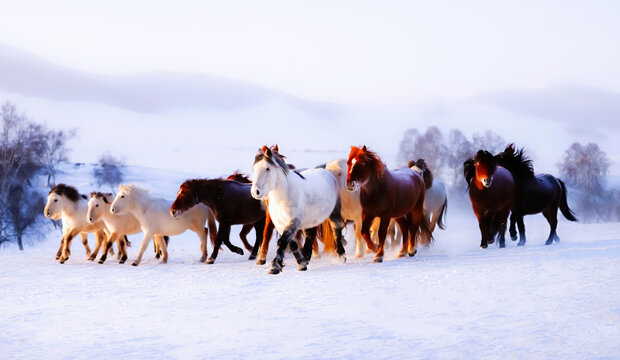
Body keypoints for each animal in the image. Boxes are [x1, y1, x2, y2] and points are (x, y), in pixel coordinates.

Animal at [252, 145, 348, 274]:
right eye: (254, 169)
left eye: (267, 168)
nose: (255, 192)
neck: (283, 197)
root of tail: (327, 172)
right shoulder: (281, 224)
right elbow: (292, 244)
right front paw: (301, 265)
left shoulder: (294, 221)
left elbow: (282, 242)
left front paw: (275, 267)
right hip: (311, 219)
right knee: (310, 235)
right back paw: (306, 257)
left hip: (334, 213)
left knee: (336, 231)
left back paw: (342, 256)